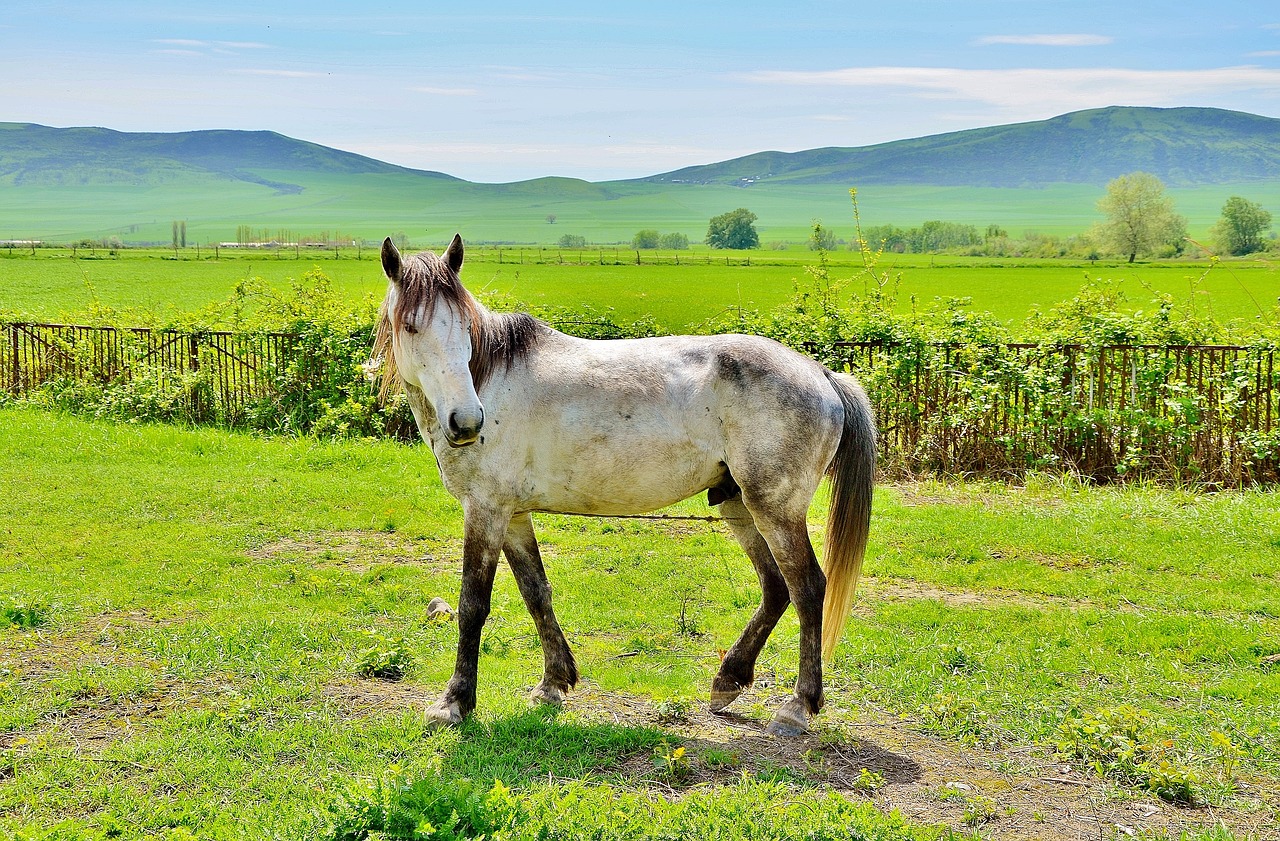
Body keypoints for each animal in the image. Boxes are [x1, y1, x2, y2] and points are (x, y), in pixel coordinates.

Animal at [366, 235, 875, 737]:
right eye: (410, 327)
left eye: (462, 327)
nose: (467, 422)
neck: (492, 379)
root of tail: (822, 375)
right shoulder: (512, 515)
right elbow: (536, 592)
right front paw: (553, 683)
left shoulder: (485, 509)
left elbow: (473, 603)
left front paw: (454, 702)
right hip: (738, 505)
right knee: (775, 587)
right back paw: (728, 680)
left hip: (775, 510)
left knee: (808, 588)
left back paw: (798, 705)